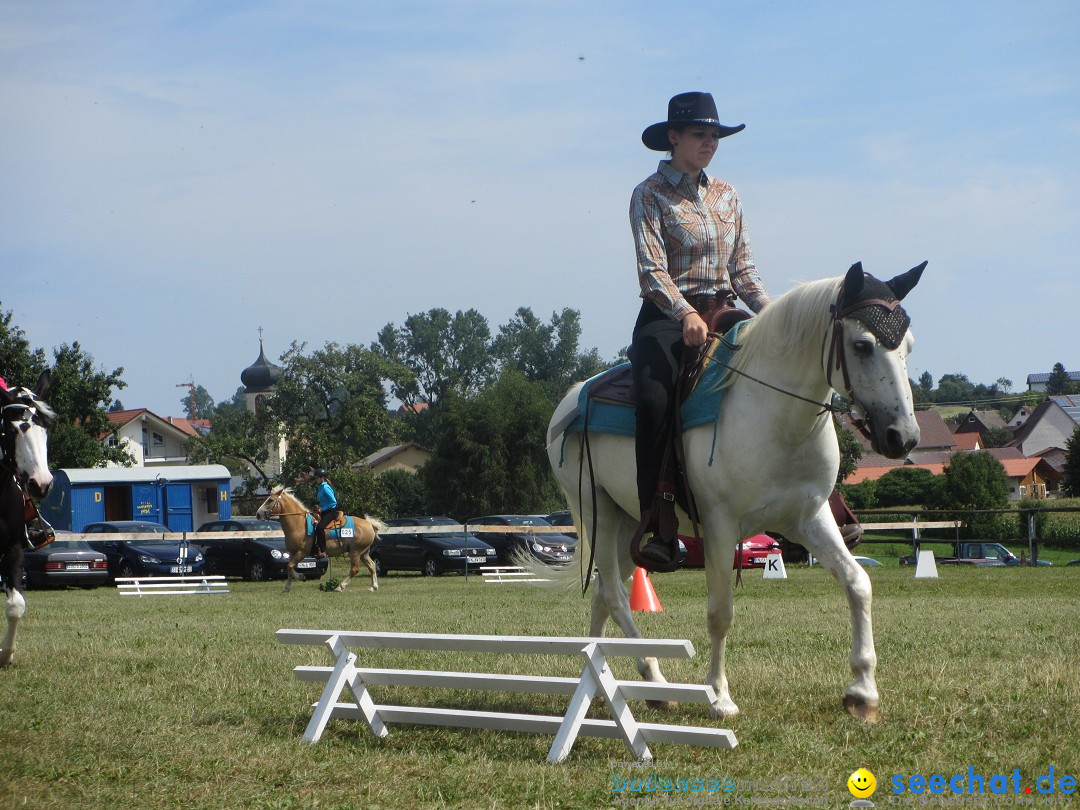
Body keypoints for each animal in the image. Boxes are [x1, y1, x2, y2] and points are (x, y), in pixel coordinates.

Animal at [255, 486, 384, 591]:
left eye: (270, 500)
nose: (258, 514)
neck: (299, 524)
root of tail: (369, 524)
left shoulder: (302, 552)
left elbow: (290, 566)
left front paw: (301, 577)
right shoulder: (292, 553)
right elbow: (290, 568)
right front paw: (287, 587)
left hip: (355, 551)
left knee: (355, 569)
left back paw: (340, 587)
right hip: (363, 553)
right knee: (372, 566)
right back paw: (373, 587)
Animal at [548, 264, 928, 721]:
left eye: (908, 345)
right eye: (863, 345)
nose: (903, 437)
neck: (774, 416)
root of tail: (570, 400)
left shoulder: (810, 518)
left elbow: (858, 583)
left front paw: (863, 693)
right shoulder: (720, 525)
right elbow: (720, 613)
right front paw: (719, 697)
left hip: (626, 525)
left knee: (604, 595)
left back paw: (599, 670)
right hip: (596, 512)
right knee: (618, 598)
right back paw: (655, 679)